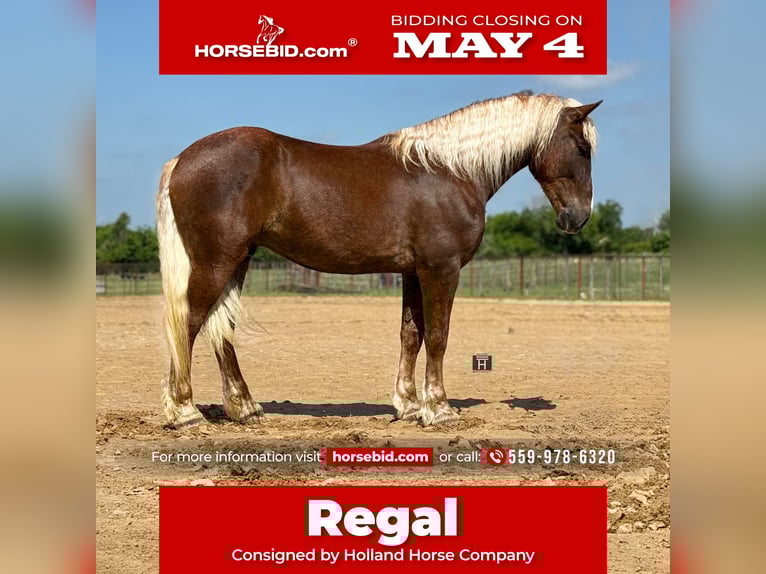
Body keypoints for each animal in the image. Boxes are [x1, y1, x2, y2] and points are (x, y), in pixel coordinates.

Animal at [155, 91, 601, 429]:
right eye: (582, 148)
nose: (578, 218)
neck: (450, 170)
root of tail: (180, 161)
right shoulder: (441, 270)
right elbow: (438, 336)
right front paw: (438, 408)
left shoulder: (412, 273)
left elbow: (411, 335)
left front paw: (408, 405)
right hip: (216, 262)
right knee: (189, 323)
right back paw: (185, 411)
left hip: (237, 261)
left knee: (221, 329)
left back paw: (245, 408)